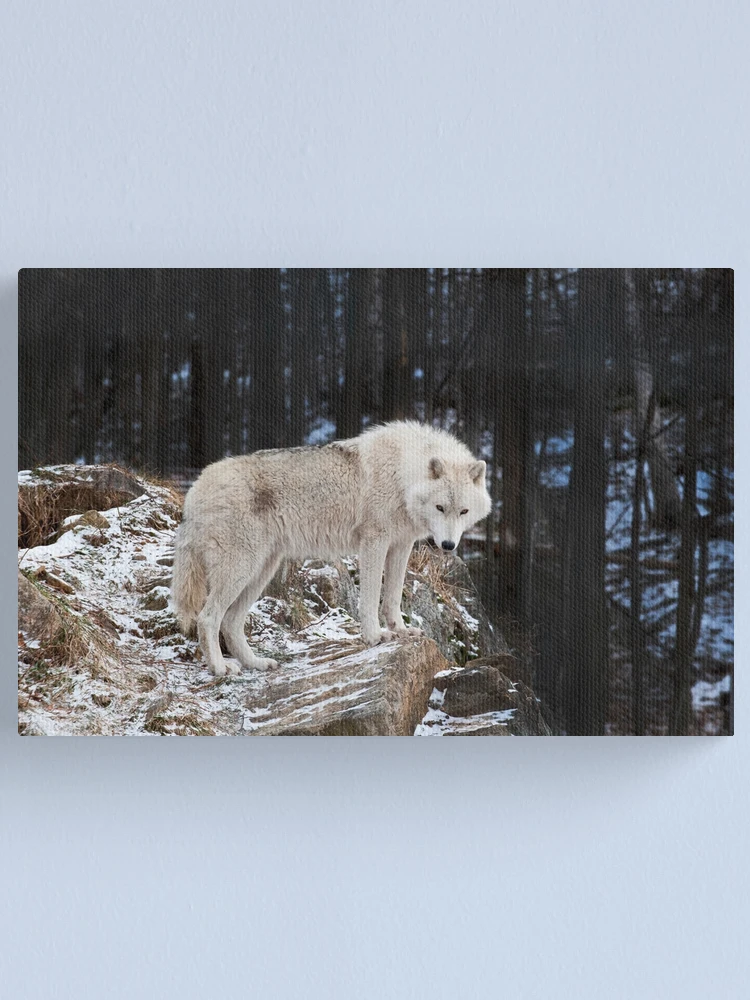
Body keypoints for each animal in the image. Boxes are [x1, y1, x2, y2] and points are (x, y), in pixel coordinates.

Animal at [171, 420, 492, 676]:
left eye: (463, 511)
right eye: (440, 508)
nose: (448, 546)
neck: (403, 473)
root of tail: (195, 488)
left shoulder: (402, 545)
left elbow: (392, 598)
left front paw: (400, 630)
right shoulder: (374, 542)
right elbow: (371, 597)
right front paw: (375, 636)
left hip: (261, 571)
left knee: (231, 623)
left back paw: (256, 663)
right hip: (241, 570)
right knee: (207, 618)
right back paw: (219, 668)